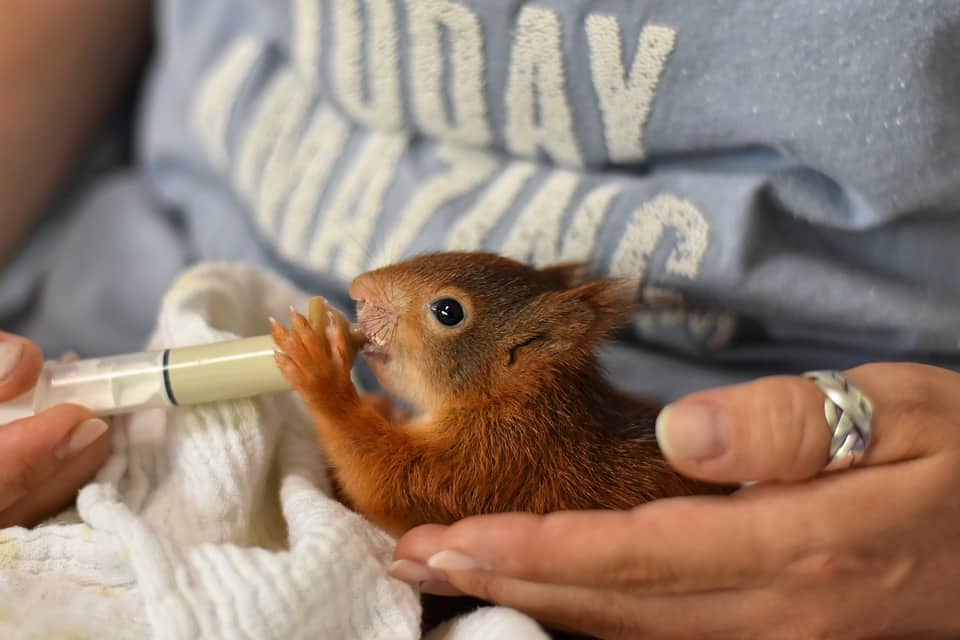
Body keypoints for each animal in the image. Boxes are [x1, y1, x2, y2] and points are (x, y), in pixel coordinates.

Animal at [274, 251, 732, 536]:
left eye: (448, 311)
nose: (358, 289)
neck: (513, 399)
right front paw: (382, 406)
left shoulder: (495, 460)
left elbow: (384, 484)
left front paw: (320, 370)